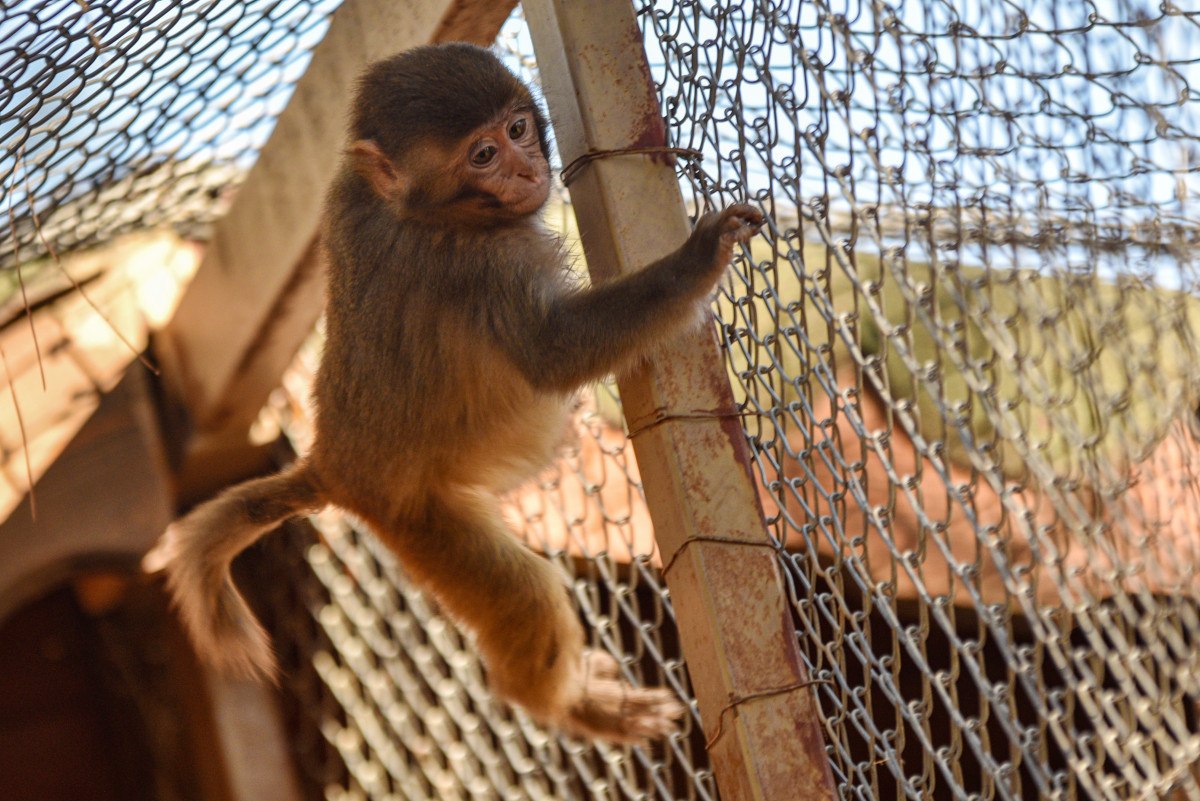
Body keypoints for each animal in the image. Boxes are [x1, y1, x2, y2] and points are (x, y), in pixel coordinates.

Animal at [145, 42, 763, 743]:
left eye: (517, 129)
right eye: (483, 154)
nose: (525, 167)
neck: (424, 210)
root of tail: (332, 465)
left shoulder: (345, 193)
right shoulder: (480, 267)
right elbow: (555, 354)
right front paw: (700, 258)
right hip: (419, 521)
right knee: (525, 592)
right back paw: (568, 705)